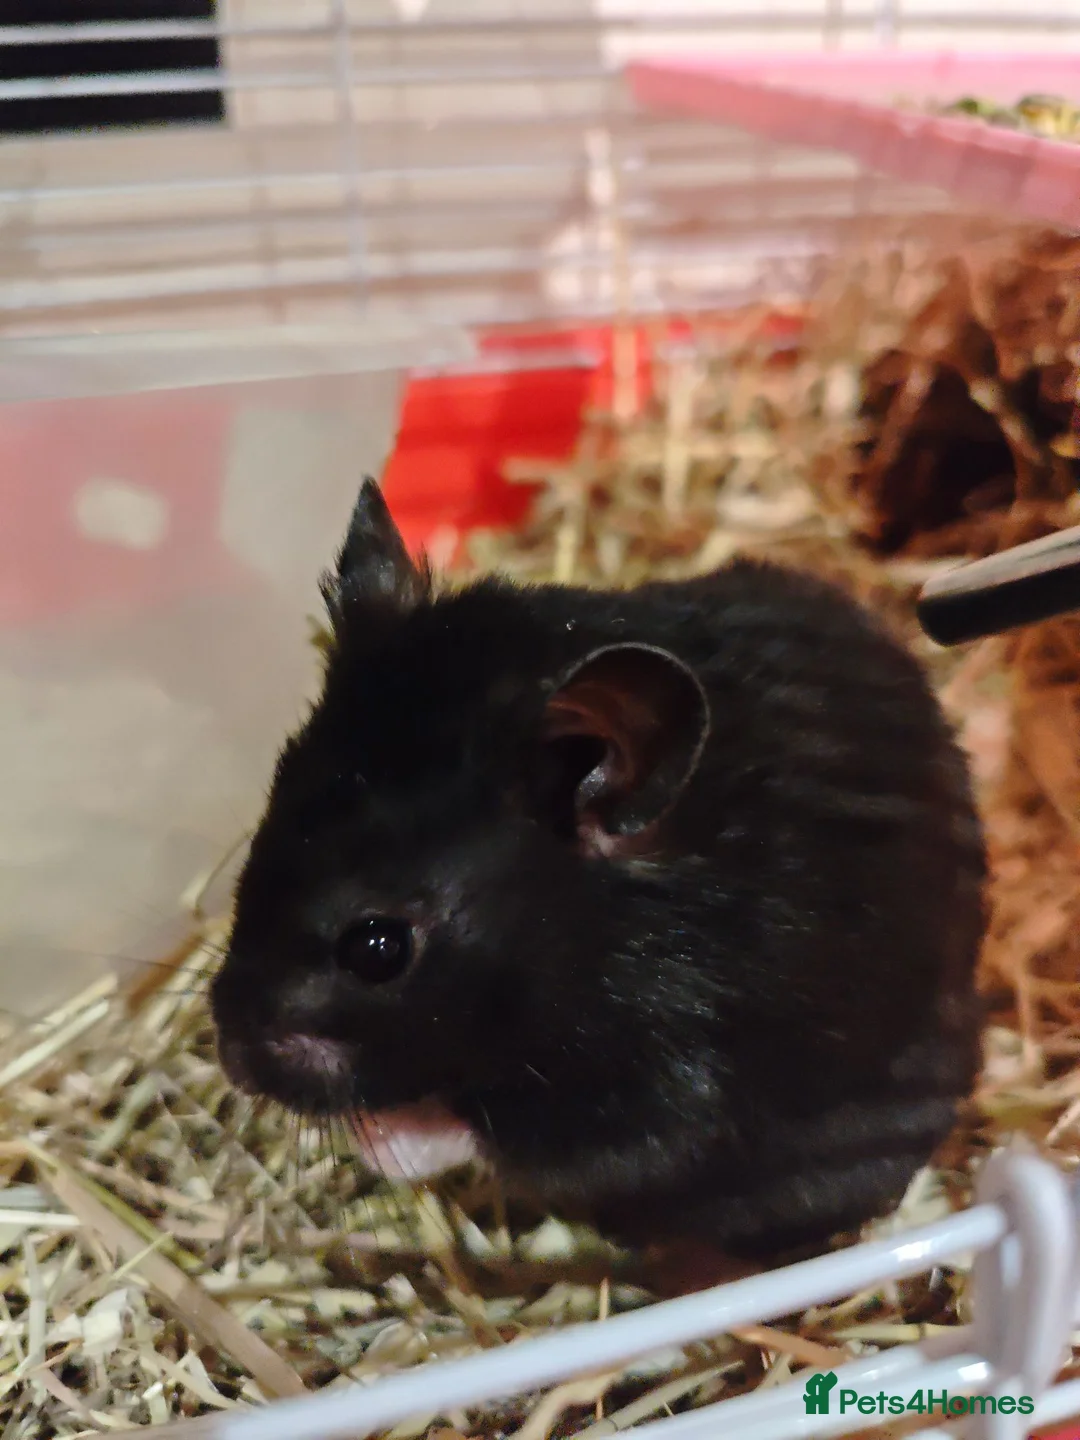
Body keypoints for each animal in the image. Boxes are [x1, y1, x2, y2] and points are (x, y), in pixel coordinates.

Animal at [211, 478, 985, 1266]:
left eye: (378, 948)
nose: (231, 1059)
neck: (602, 937)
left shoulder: (666, 1108)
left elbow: (489, 1136)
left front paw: (384, 1143)